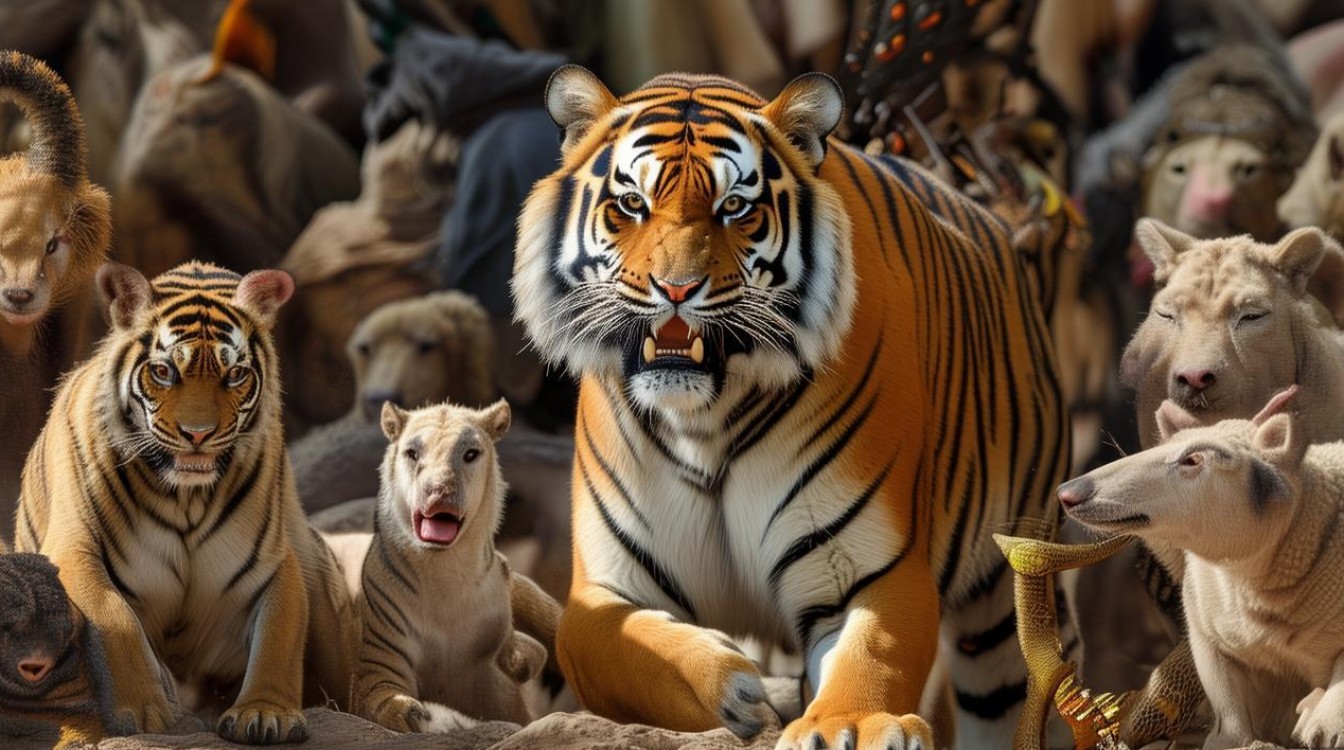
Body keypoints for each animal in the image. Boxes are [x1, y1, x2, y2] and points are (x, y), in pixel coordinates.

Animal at [14, 261, 358, 744]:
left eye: (235, 375)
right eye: (163, 372)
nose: (198, 435)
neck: (185, 497)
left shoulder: (276, 561)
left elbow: (279, 636)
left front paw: (266, 712)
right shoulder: (72, 551)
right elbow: (115, 617)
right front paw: (146, 714)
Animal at [511, 67, 1071, 750]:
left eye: (735, 207)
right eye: (631, 205)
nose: (675, 288)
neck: (705, 419)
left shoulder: (869, 569)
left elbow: (874, 652)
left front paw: (847, 725)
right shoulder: (603, 590)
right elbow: (612, 648)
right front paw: (733, 693)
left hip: (1007, 596)